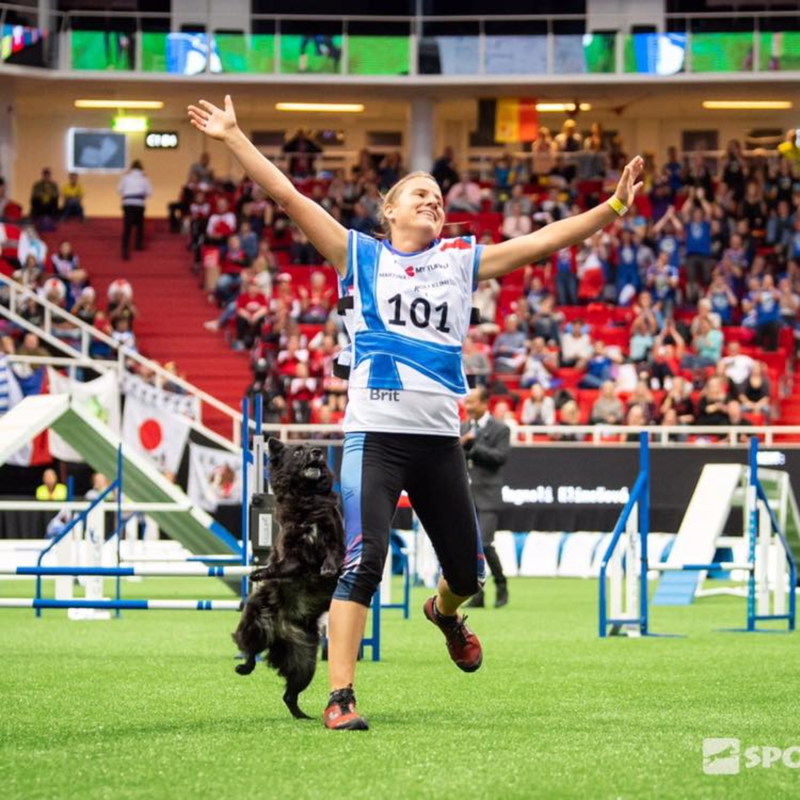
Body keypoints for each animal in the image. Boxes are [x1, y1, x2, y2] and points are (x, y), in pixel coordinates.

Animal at [231, 438, 344, 720]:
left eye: (314, 447)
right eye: (298, 451)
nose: (317, 452)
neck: (307, 498)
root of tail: (279, 631)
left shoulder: (333, 533)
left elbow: (332, 554)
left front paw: (328, 568)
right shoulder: (290, 550)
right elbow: (281, 565)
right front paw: (261, 572)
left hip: (306, 662)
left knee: (289, 694)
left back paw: (303, 716)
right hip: (253, 624)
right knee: (249, 651)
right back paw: (244, 668)